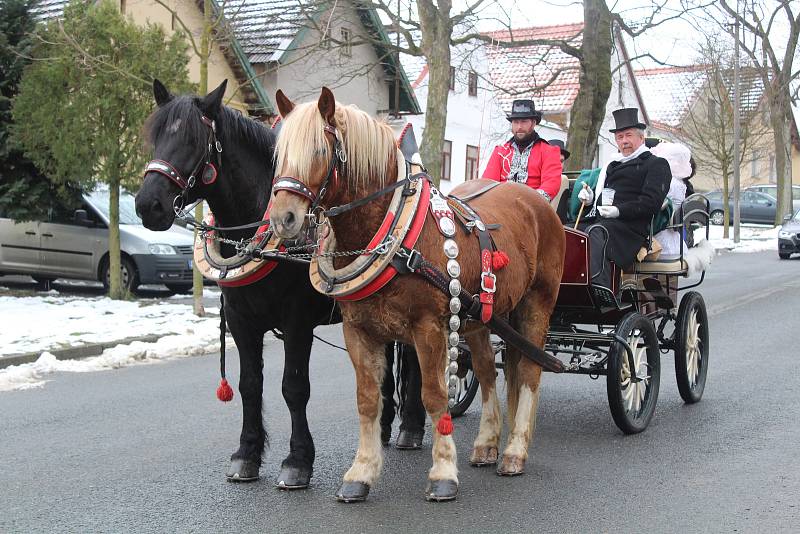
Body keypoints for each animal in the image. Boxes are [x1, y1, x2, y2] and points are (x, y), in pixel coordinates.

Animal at [136, 80, 424, 490]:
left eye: (193, 139)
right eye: (156, 136)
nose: (148, 205)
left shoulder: (297, 322)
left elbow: (294, 387)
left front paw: (298, 460)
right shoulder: (240, 320)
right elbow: (249, 384)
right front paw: (247, 453)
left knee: (414, 359)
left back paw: (411, 428)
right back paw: (383, 429)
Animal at [272, 88, 564, 502]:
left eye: (319, 149)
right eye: (279, 153)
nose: (284, 218)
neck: (391, 233)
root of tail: (534, 201)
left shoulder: (428, 329)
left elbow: (434, 395)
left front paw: (443, 473)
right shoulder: (358, 330)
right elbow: (368, 399)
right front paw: (361, 473)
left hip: (537, 304)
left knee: (530, 373)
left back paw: (515, 451)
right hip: (481, 316)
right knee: (489, 371)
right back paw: (487, 444)